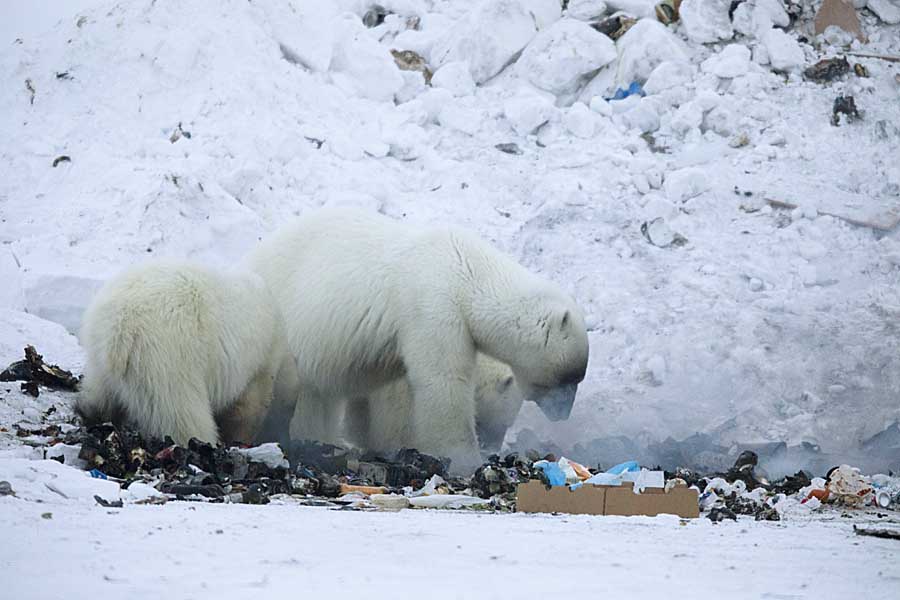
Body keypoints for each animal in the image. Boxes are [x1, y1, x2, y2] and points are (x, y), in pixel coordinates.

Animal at [76, 262, 298, 446]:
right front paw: (239, 439)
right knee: (182, 413)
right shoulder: (261, 363)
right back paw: (201, 441)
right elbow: (248, 408)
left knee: (100, 392)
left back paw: (91, 413)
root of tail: (120, 329)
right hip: (167, 357)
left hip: (99, 350)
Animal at [246, 209, 592, 472]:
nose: (563, 414)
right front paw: (463, 458)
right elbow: (442, 382)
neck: (467, 270)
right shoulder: (432, 307)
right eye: (569, 378)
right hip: (291, 326)